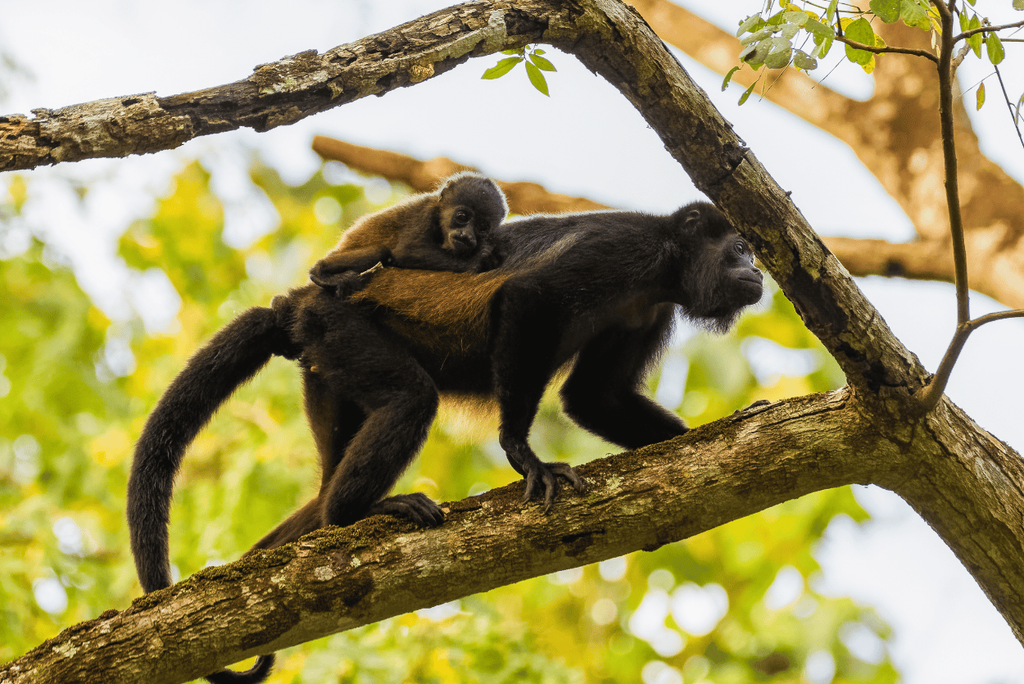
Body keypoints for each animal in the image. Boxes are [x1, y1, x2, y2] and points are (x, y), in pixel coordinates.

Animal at [126, 200, 764, 684]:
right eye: (740, 248)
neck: (665, 266)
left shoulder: (647, 309)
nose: (758, 270)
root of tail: (296, 304)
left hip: (322, 363)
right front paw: (522, 453)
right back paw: (355, 512)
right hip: (341, 328)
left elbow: (594, 397)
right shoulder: (621, 250)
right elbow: (528, 297)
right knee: (412, 399)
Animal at [309, 172, 508, 297]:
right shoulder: (425, 214)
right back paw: (320, 271)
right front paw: (477, 260)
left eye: (482, 227)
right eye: (462, 217)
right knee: (379, 250)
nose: (466, 236)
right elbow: (407, 251)